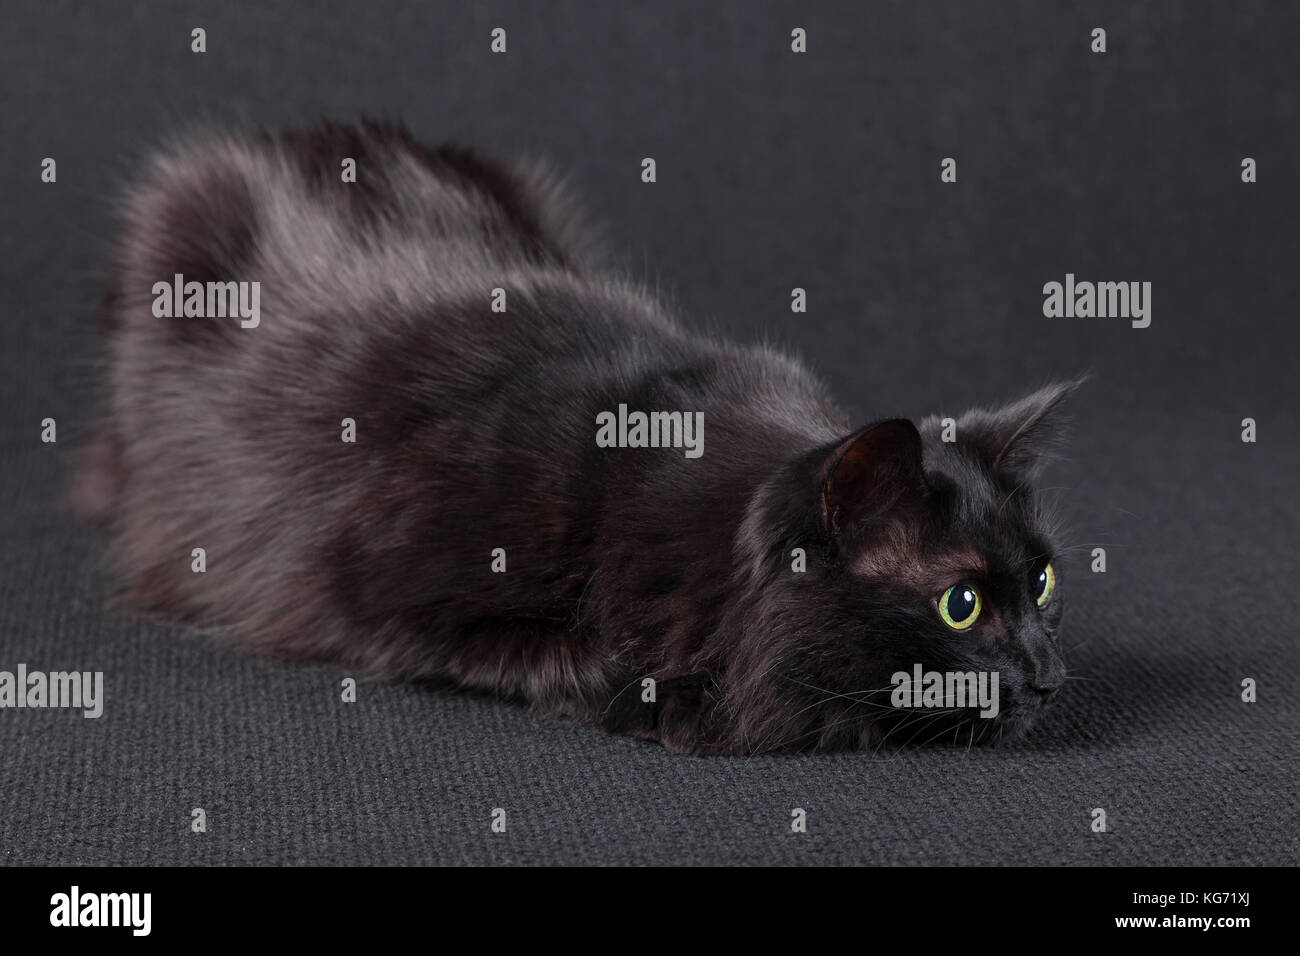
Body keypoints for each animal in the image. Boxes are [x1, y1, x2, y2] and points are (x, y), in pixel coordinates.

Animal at [76, 119, 1081, 754]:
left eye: (1042, 583)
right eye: (961, 604)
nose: (1048, 676)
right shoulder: (372, 596)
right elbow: (571, 653)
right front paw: (665, 704)